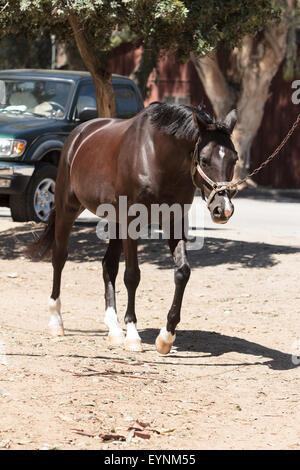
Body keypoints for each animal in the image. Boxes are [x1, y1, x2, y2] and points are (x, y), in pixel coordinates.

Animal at [29, 102, 238, 352]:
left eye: (234, 159)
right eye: (205, 159)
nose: (223, 210)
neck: (157, 159)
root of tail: (79, 134)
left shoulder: (174, 221)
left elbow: (182, 272)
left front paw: (166, 336)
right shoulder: (131, 222)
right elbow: (132, 275)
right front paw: (132, 335)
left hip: (114, 220)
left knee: (108, 265)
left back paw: (113, 328)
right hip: (67, 208)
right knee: (59, 258)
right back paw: (56, 321)